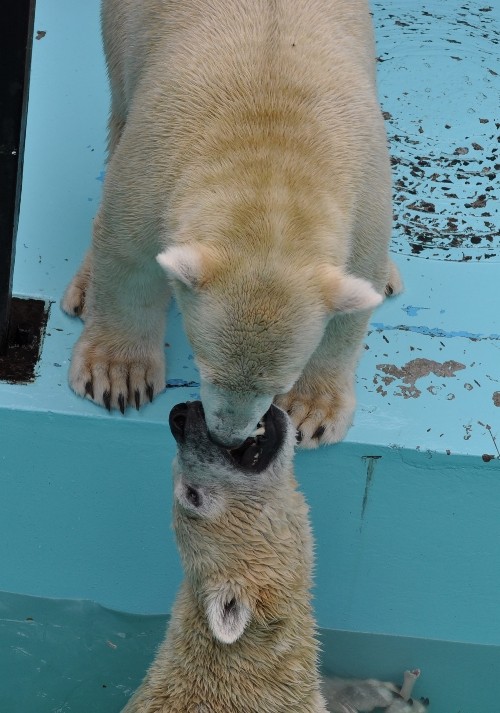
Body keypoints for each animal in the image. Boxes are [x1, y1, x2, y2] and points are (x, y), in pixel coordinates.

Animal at [64, 0, 404, 444]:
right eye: (205, 366)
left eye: (276, 386)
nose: (228, 437)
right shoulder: (156, 160)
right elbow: (129, 254)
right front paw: (118, 376)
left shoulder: (365, 200)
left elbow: (355, 295)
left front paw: (311, 413)